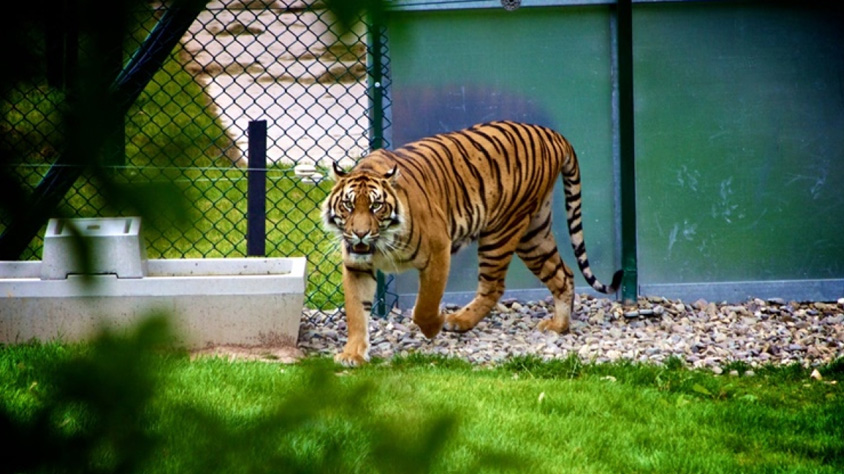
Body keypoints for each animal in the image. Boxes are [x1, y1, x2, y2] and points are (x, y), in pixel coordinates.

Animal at [322, 120, 620, 364]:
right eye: (348, 206)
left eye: (376, 207)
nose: (360, 233)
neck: (380, 242)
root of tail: (553, 134)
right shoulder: (357, 266)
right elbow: (356, 312)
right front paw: (352, 354)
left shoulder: (438, 250)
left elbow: (424, 306)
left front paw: (434, 325)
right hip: (534, 234)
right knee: (563, 274)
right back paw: (559, 326)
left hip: (501, 230)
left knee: (494, 286)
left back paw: (459, 321)